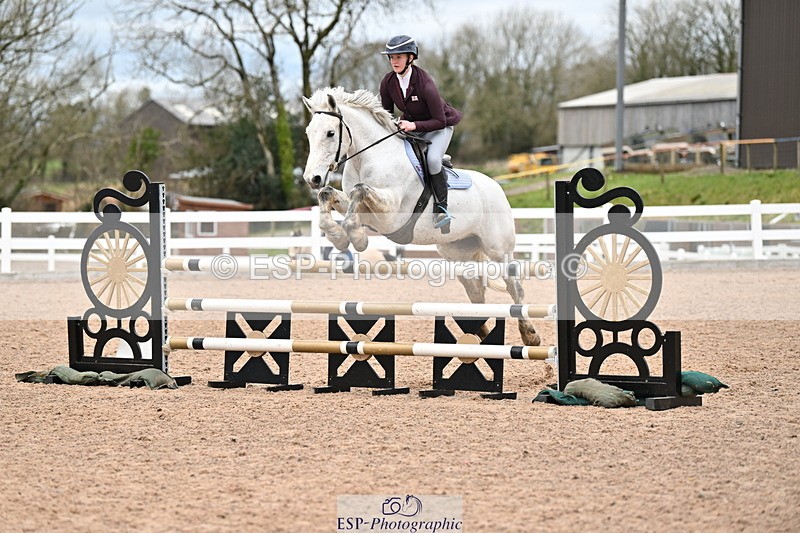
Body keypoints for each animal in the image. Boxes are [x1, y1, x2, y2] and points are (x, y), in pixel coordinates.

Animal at [301, 87, 540, 346]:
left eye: (330, 133)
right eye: (308, 133)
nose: (312, 179)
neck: (370, 158)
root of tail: (496, 186)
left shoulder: (391, 214)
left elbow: (360, 190)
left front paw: (356, 237)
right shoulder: (368, 213)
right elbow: (329, 194)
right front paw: (338, 235)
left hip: (498, 249)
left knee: (514, 286)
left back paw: (530, 335)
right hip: (458, 253)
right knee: (476, 292)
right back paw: (479, 335)